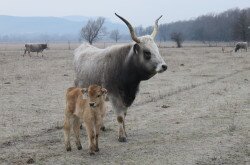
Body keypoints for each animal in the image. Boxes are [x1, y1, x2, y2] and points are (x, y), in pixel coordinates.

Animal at [74, 13, 168, 142]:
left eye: (157, 50)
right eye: (147, 52)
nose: (164, 66)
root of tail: (84, 46)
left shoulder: (128, 97)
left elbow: (124, 115)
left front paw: (125, 132)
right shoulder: (114, 96)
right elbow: (119, 116)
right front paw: (121, 136)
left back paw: (101, 126)